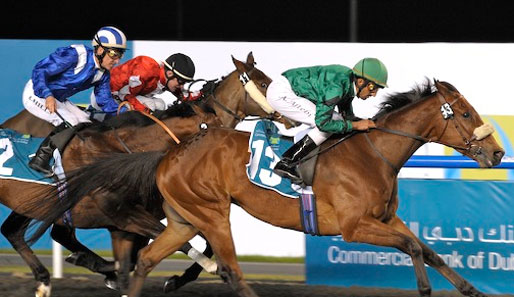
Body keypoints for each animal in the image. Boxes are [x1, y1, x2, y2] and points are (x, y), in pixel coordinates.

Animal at [1, 52, 276, 296]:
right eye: (263, 84)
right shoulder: (123, 215)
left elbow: (197, 243)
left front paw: (174, 279)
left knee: (15, 231)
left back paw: (47, 279)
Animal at [26, 79, 502, 296]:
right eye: (463, 113)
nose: (497, 153)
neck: (374, 152)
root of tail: (169, 153)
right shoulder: (354, 227)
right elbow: (414, 246)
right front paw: (428, 289)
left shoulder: (386, 217)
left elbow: (426, 248)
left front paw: (469, 289)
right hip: (213, 213)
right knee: (232, 270)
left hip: (183, 219)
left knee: (145, 260)